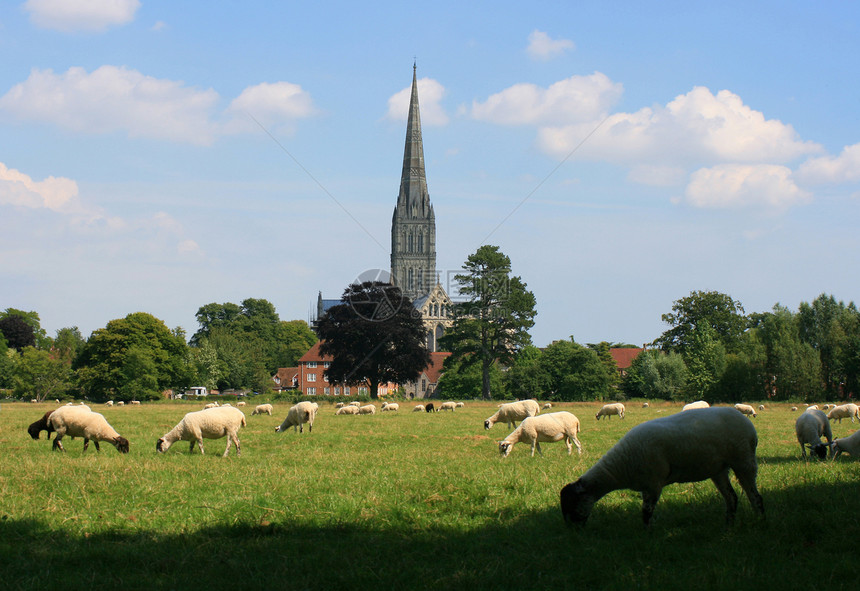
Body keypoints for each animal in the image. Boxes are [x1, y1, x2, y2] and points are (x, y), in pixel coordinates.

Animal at [556, 408, 764, 528]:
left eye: (572, 503)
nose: (573, 531)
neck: (619, 467)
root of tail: (747, 423)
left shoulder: (653, 484)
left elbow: (646, 514)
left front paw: (647, 537)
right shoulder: (646, 486)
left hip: (743, 460)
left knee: (755, 496)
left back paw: (760, 522)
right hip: (719, 469)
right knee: (732, 497)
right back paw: (728, 526)